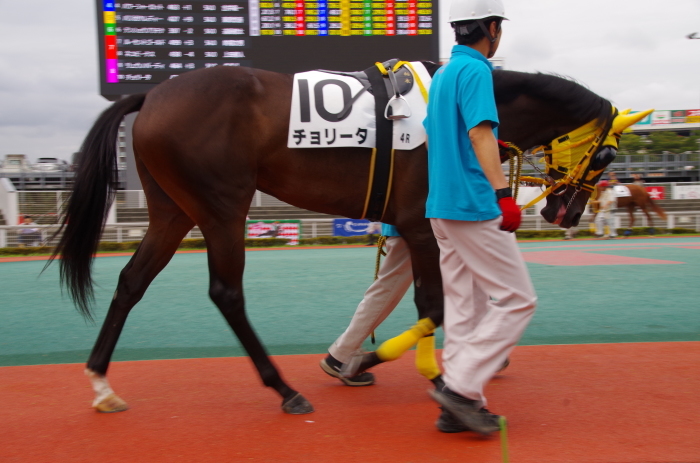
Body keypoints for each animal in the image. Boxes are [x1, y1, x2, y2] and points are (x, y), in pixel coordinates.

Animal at [47, 63, 624, 416]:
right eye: (606, 155)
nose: (566, 212)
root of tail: (153, 92)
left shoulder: (419, 227)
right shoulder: (421, 226)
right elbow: (433, 305)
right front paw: (407, 370)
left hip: (172, 210)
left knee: (132, 281)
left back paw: (102, 383)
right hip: (222, 206)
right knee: (226, 292)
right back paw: (284, 389)